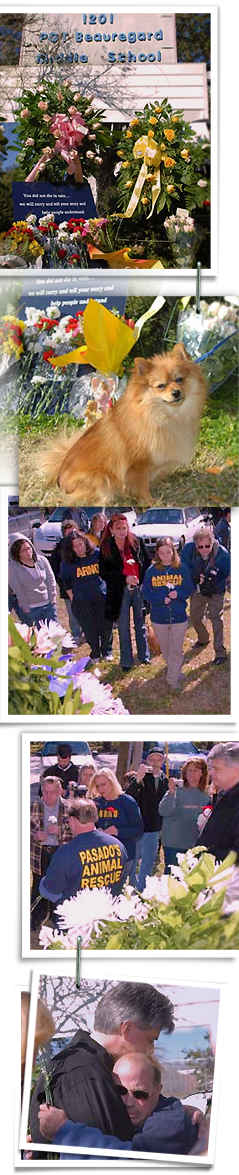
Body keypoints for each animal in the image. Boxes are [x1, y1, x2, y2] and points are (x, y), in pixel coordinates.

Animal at [40, 340, 206, 505]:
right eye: (161, 386)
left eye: (179, 379)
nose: (176, 392)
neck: (160, 416)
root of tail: (60, 474)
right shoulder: (138, 465)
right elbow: (141, 485)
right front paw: (148, 501)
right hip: (103, 480)